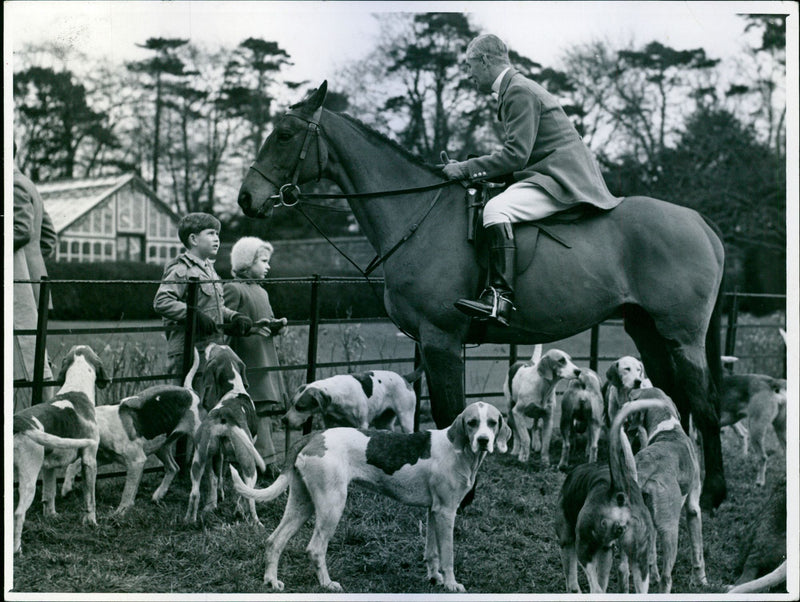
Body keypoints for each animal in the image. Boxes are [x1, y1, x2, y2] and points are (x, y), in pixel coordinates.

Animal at [234, 81, 728, 506]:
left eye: (284, 135)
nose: (245, 198)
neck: (419, 213)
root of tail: (700, 220)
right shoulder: (432, 342)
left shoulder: (441, 338)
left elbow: (452, 412)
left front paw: (464, 493)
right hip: (649, 332)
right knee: (672, 402)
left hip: (682, 337)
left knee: (704, 406)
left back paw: (713, 493)